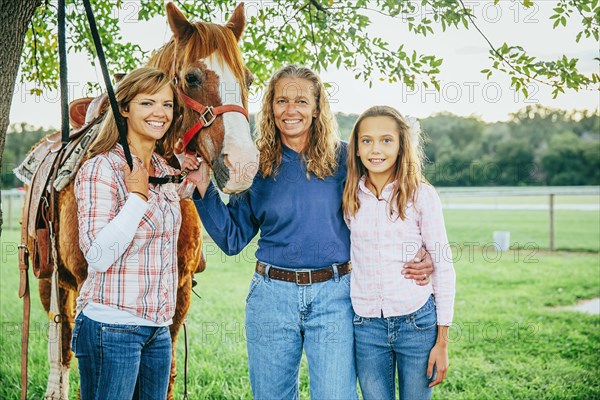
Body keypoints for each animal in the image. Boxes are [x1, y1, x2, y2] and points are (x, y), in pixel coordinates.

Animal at [25, 3, 258, 400]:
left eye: (249, 79)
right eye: (192, 77)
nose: (242, 164)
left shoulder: (179, 293)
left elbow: (167, 375)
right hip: (49, 280)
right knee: (62, 342)